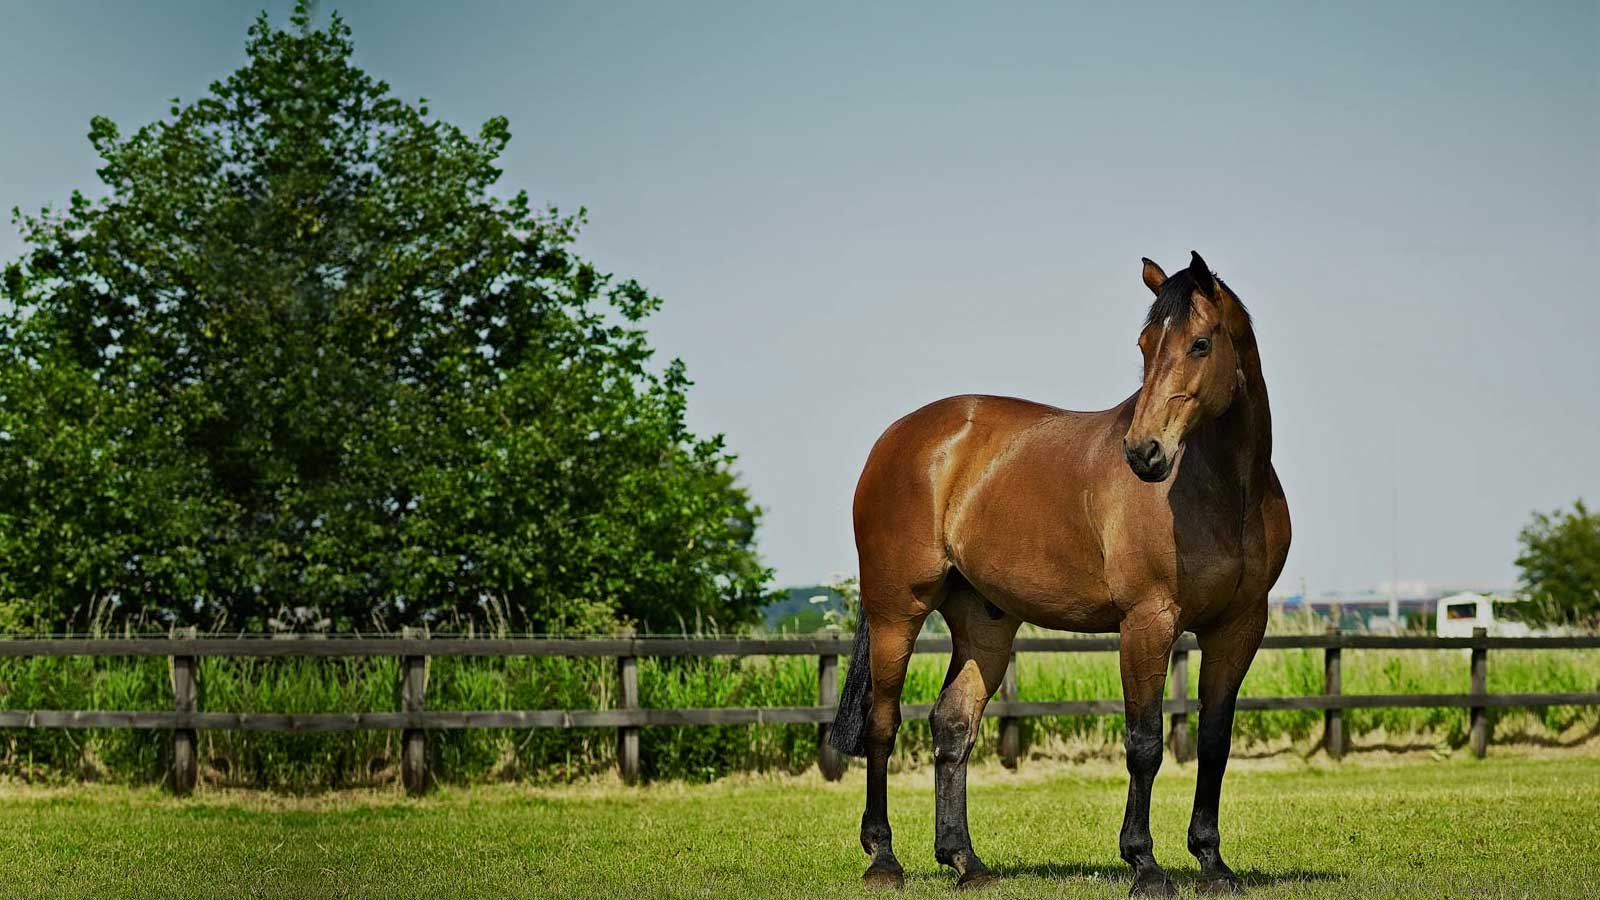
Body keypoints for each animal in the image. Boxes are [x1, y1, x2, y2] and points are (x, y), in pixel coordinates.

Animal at [832, 249, 1292, 890]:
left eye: (1200, 343)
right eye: (1145, 343)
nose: (1143, 453)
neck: (1225, 490)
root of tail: (898, 438)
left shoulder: (1239, 626)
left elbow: (1214, 740)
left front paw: (1213, 863)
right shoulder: (1147, 623)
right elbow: (1145, 742)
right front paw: (1145, 865)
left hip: (985, 624)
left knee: (953, 726)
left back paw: (966, 862)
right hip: (896, 610)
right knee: (882, 722)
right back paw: (883, 860)